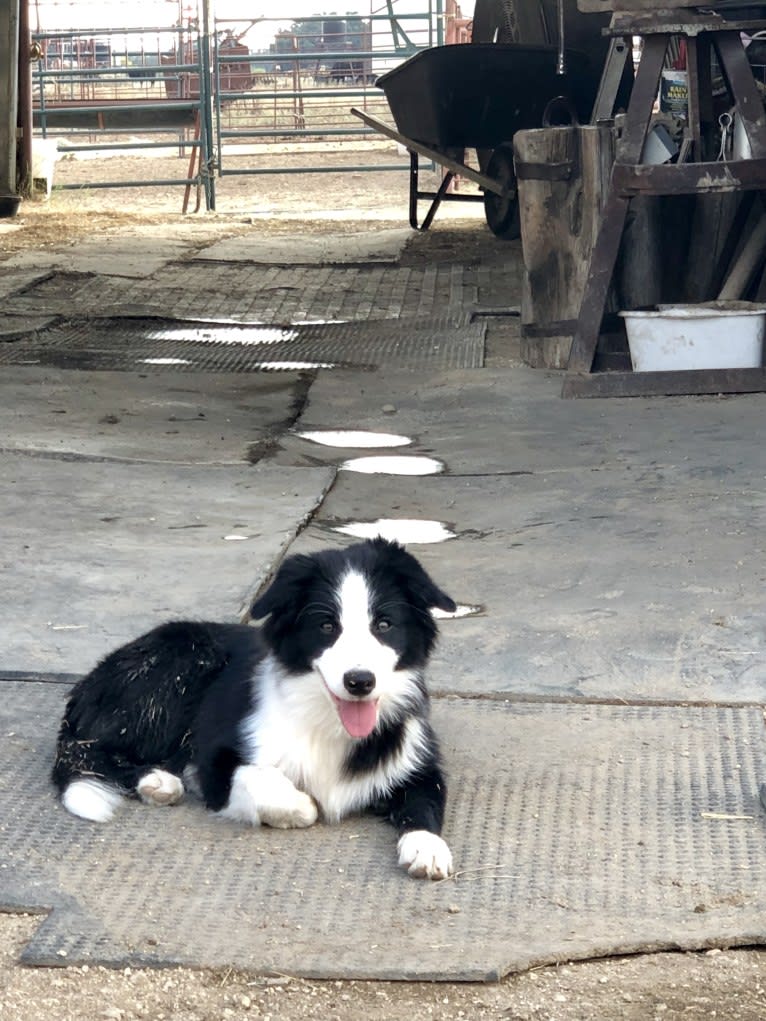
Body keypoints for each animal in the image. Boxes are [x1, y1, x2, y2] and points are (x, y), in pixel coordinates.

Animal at [52, 539, 455, 882]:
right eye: (326, 626)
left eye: (384, 624)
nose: (360, 681)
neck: (329, 722)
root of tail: (89, 683)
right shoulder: (216, 762)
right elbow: (275, 788)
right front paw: (300, 805)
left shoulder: (417, 762)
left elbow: (427, 801)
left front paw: (426, 847)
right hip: (182, 664)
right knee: (90, 750)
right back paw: (156, 779)